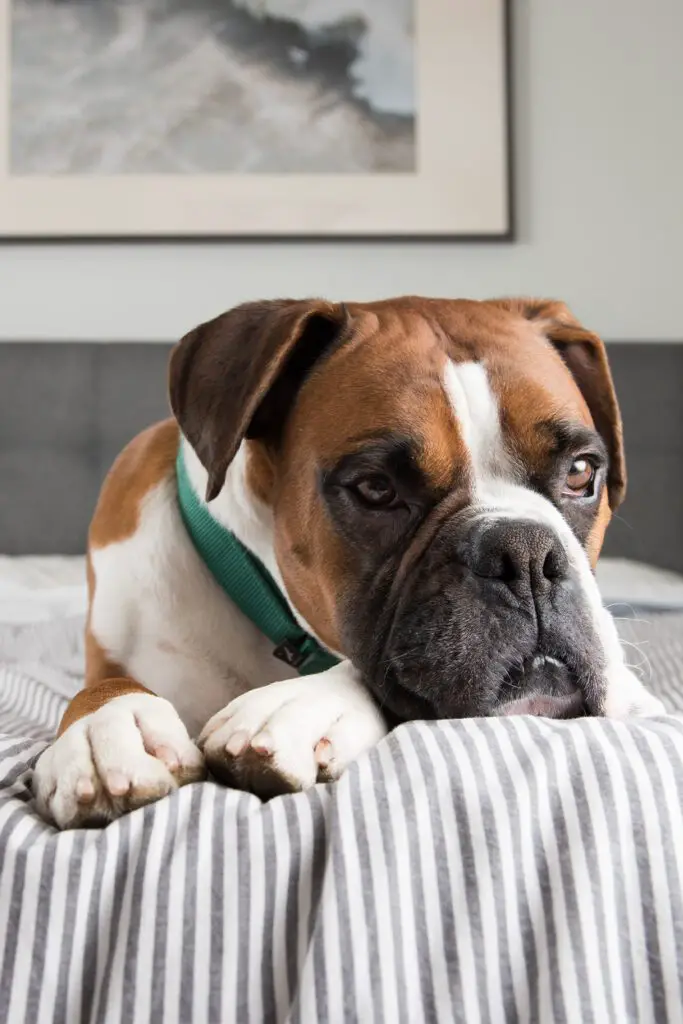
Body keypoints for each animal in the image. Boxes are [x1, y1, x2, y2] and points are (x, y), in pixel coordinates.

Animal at [30, 294, 663, 823]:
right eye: (376, 489)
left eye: (581, 472)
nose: (526, 555)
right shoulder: (113, 652)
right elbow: (103, 688)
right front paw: (107, 730)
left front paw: (301, 705)